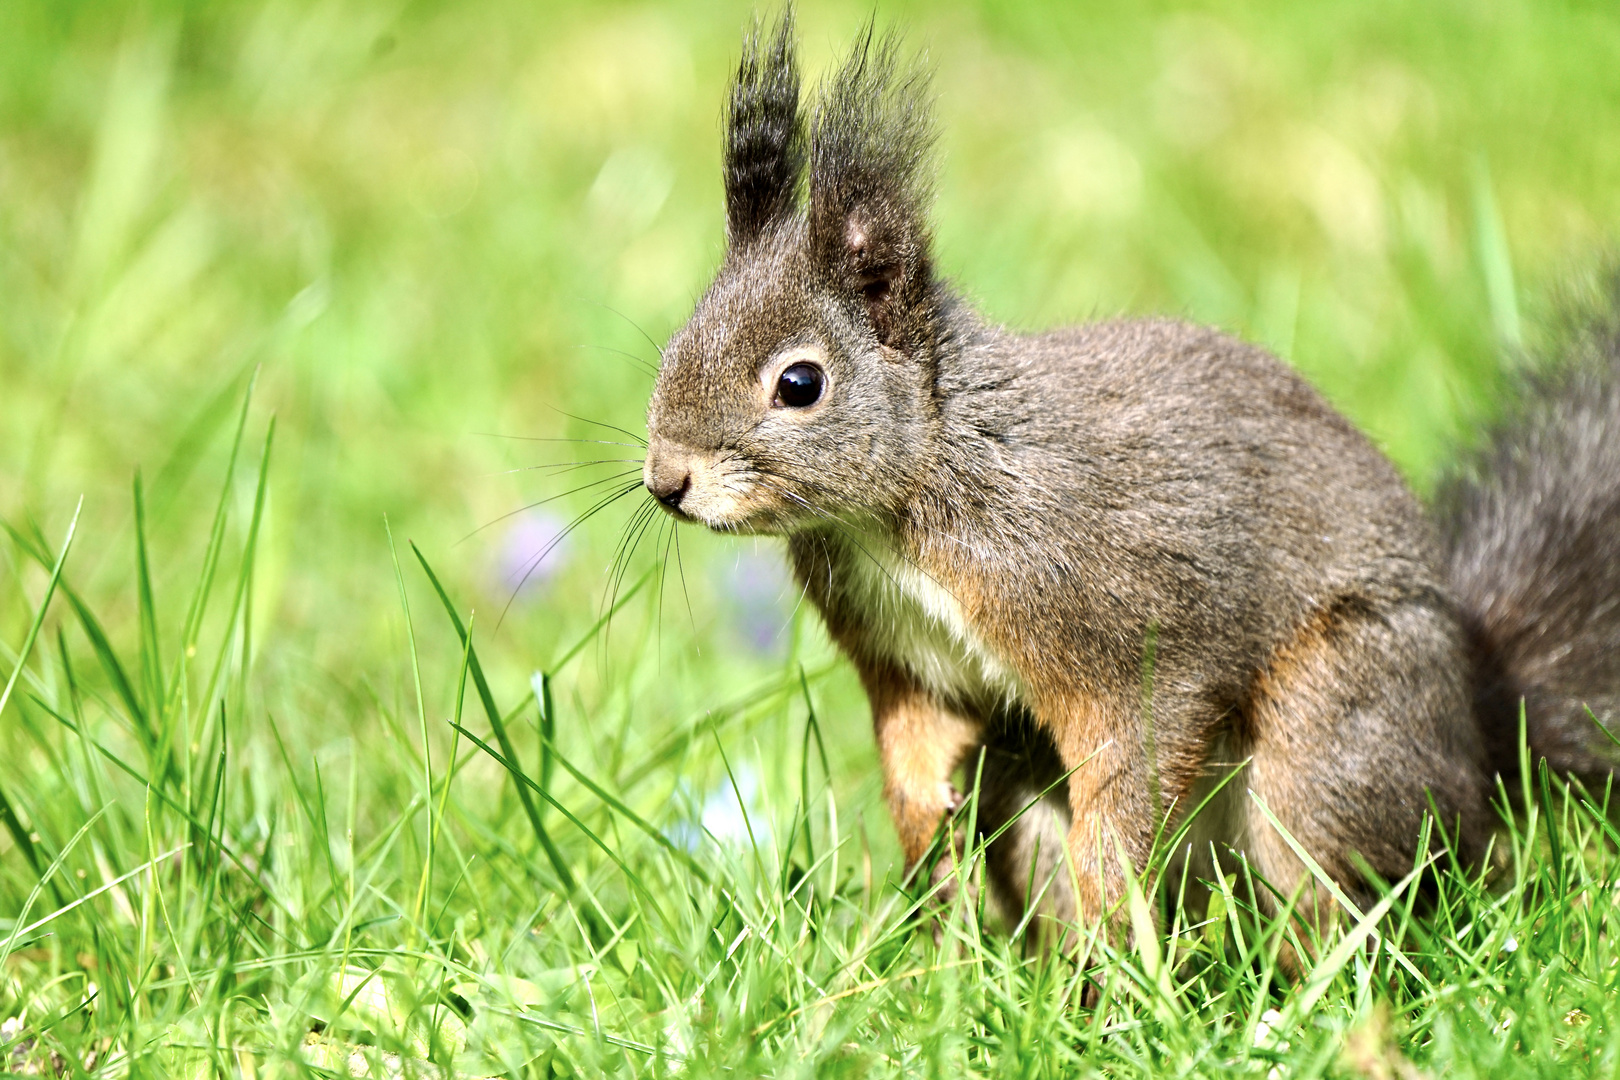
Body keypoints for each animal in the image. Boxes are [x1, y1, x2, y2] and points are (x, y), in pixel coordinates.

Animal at [631, 12, 1620, 952]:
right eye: (680, 336)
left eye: (800, 383)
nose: (667, 479)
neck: (908, 502)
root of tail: (1477, 738)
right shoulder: (904, 657)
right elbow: (916, 740)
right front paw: (926, 844)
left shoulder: (1131, 622)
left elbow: (1135, 763)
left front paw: (1117, 901)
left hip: (1333, 732)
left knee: (1336, 878)